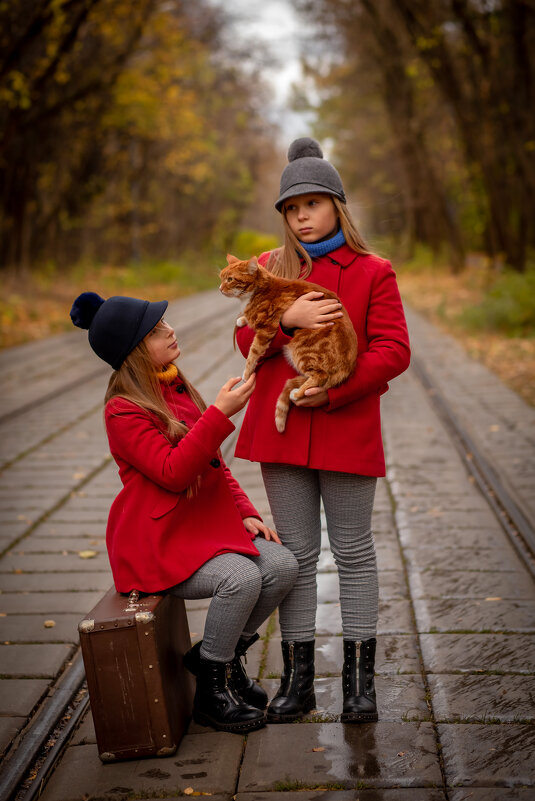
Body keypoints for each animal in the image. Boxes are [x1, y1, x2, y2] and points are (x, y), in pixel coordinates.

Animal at [220, 255, 358, 432]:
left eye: (230, 279)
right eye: (221, 278)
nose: (220, 288)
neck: (257, 291)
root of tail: (348, 367)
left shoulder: (266, 330)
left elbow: (253, 353)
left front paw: (246, 373)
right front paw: (242, 319)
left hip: (302, 351)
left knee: (320, 376)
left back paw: (297, 393)